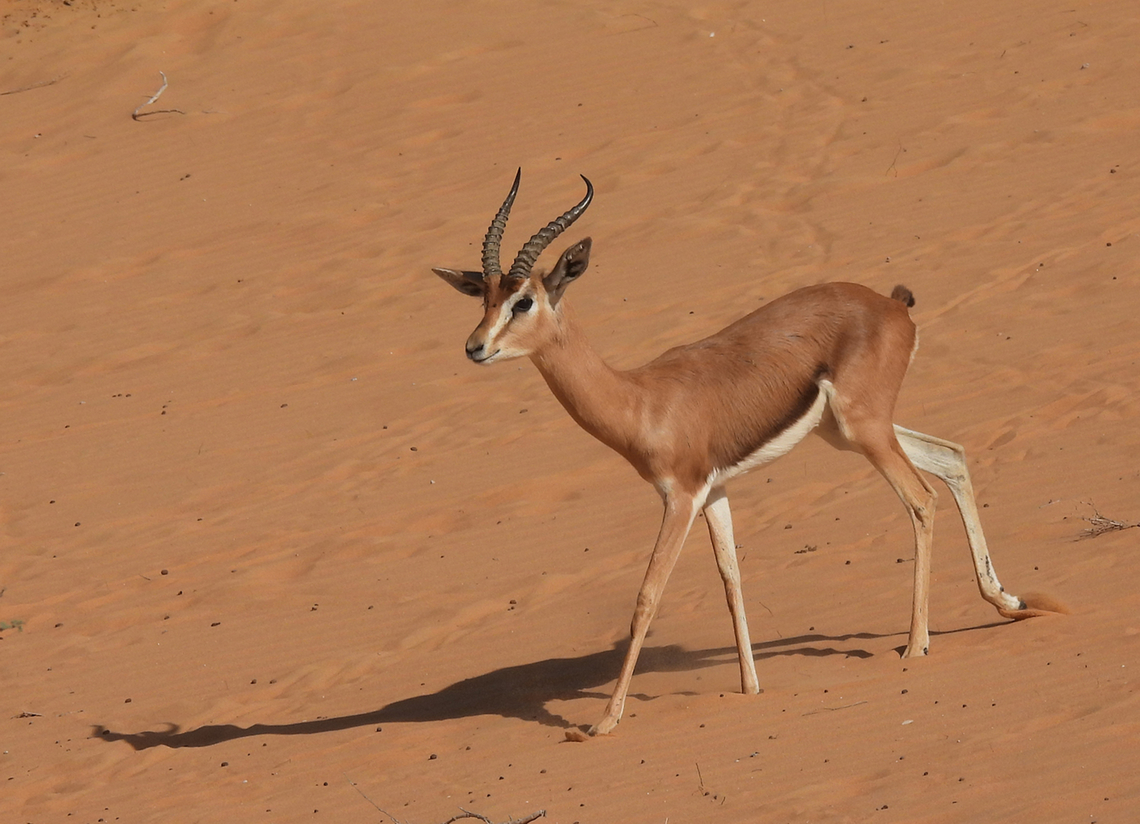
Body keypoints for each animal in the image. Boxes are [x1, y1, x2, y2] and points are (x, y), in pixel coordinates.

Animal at [433, 170, 1053, 737]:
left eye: (523, 301)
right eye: (484, 298)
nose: (474, 347)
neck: (643, 400)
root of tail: (893, 305)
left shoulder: (680, 496)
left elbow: (648, 596)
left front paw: (604, 721)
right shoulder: (716, 491)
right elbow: (731, 579)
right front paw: (750, 687)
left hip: (865, 430)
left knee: (922, 500)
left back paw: (916, 645)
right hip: (845, 431)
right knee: (952, 455)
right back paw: (1007, 602)